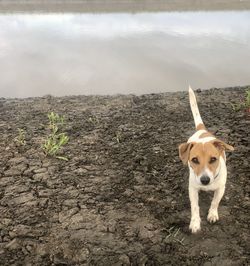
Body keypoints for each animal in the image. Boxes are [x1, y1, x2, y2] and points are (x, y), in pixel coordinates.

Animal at [179, 87, 233, 233]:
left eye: (213, 159)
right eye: (194, 160)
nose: (204, 180)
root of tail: (202, 130)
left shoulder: (221, 188)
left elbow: (215, 202)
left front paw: (212, 214)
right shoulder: (192, 189)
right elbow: (195, 207)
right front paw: (195, 222)